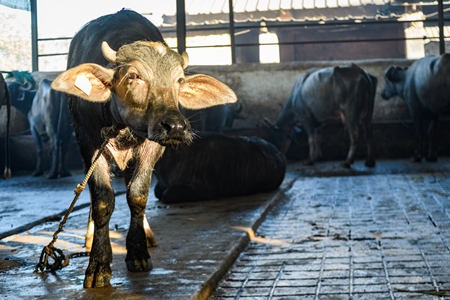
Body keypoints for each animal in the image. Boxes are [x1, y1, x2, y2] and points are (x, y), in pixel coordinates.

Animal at [51, 9, 237, 290]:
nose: (175, 126)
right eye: (134, 76)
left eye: (179, 80)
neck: (121, 127)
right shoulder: (90, 144)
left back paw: (146, 234)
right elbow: (102, 200)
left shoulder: (152, 147)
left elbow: (137, 195)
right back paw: (90, 236)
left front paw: (137, 252)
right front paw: (98, 264)